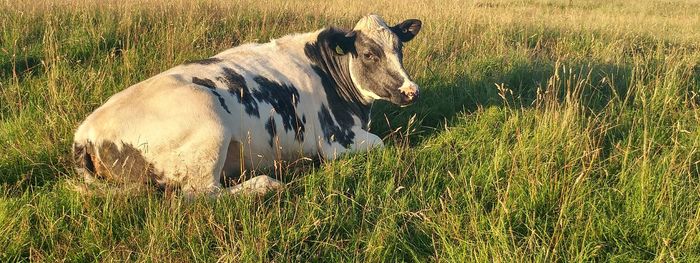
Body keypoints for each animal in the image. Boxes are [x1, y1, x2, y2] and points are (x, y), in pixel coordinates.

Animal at [72, 13, 422, 196]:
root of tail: (86, 131)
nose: (411, 91)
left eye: (400, 48)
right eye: (369, 54)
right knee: (203, 195)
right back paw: (267, 183)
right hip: (209, 129)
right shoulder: (336, 141)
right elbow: (383, 143)